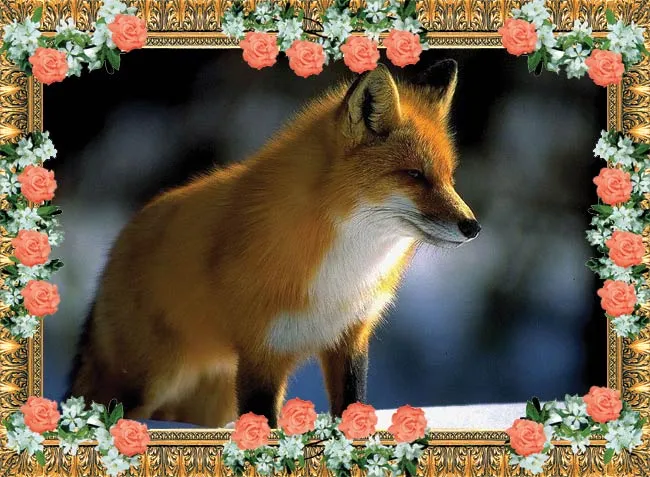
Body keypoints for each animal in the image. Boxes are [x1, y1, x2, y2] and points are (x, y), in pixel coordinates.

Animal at [68, 59, 480, 428]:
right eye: (415, 176)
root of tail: (117, 244)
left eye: (448, 178)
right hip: (143, 384)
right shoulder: (262, 352)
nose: (472, 227)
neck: (344, 270)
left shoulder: (350, 338)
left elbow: (351, 408)